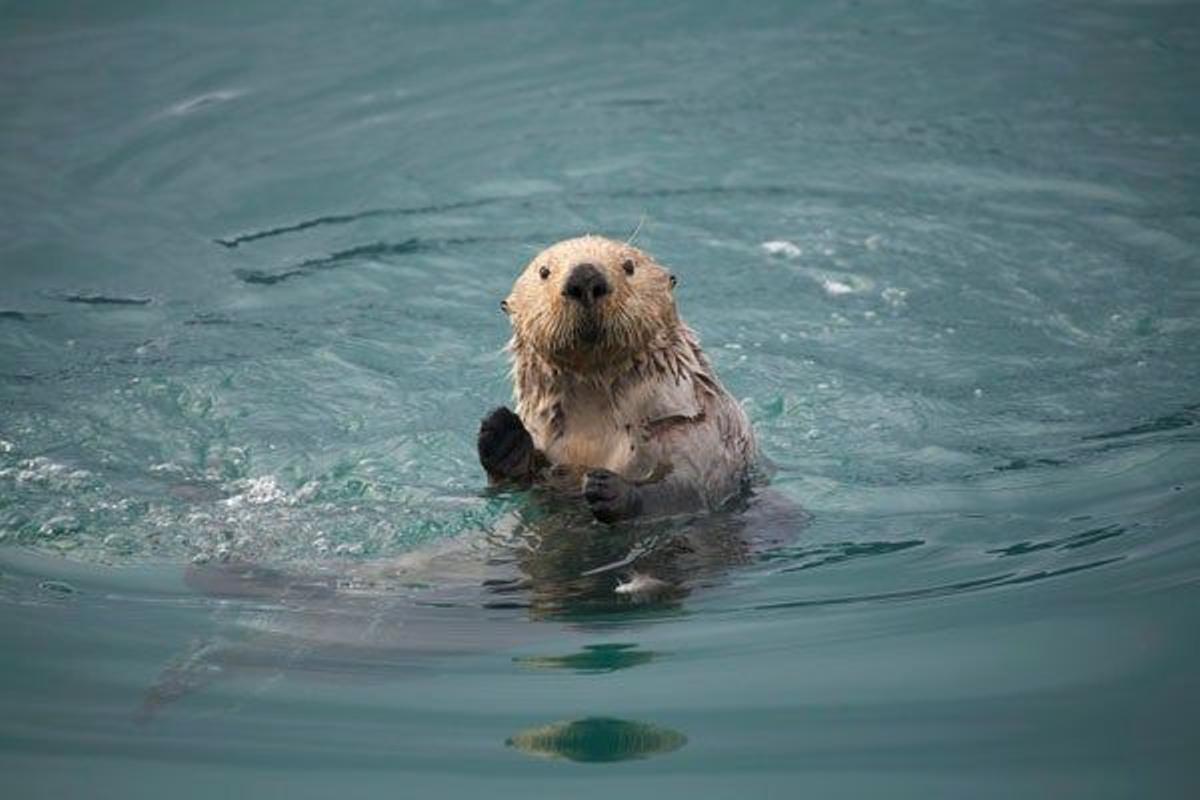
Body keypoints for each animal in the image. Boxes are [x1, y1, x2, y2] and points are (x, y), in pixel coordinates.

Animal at [475, 235, 748, 522]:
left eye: (629, 266)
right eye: (544, 272)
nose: (585, 277)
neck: (594, 427)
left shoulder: (699, 433)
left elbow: (685, 489)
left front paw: (610, 488)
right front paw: (501, 432)